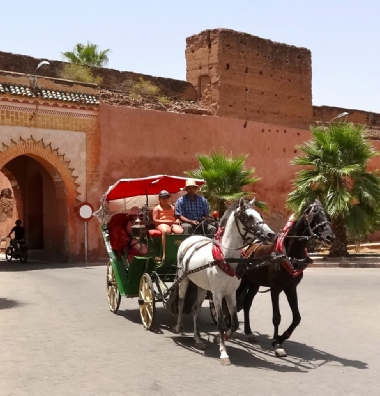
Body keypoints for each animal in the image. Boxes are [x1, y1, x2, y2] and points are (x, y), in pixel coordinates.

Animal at [174, 198, 276, 366]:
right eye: (248, 217)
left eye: (260, 214)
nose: (271, 234)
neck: (225, 258)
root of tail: (191, 238)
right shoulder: (217, 294)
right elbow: (221, 323)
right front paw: (223, 353)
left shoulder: (231, 293)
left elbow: (234, 322)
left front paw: (219, 338)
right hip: (184, 278)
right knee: (181, 302)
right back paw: (178, 326)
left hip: (201, 286)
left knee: (196, 309)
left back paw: (198, 339)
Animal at [236, 200, 334, 358]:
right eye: (315, 216)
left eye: (328, 215)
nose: (330, 237)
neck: (289, 253)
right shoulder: (275, 289)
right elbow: (277, 317)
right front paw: (276, 343)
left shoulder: (291, 288)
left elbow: (297, 317)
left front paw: (281, 338)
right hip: (242, 279)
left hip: (254, 282)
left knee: (246, 303)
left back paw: (249, 332)